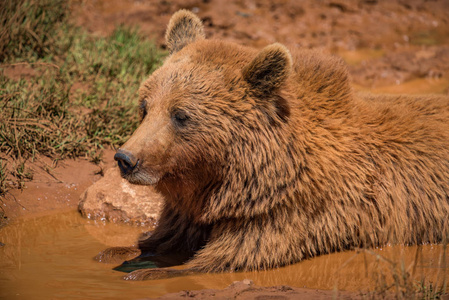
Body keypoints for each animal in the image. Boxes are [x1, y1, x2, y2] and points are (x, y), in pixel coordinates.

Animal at [96, 9, 448, 282]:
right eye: (145, 106)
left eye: (180, 115)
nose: (126, 158)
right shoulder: (194, 210)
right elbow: (165, 238)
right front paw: (113, 251)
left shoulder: (283, 215)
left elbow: (224, 257)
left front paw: (145, 272)